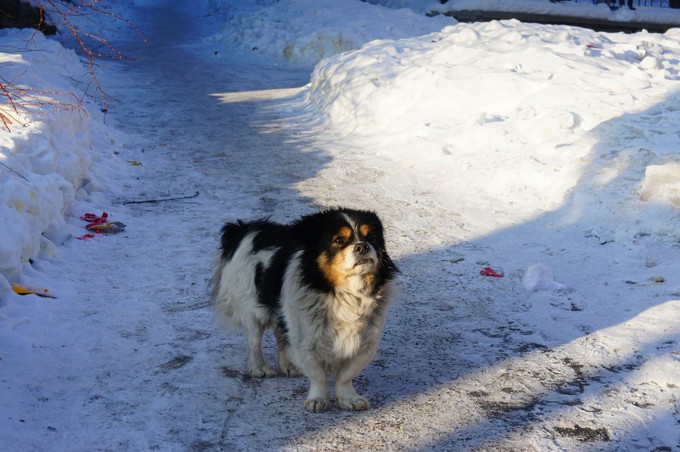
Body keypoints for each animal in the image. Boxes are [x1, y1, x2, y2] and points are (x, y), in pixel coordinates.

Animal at [210, 208, 396, 414]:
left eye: (371, 236)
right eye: (339, 239)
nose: (362, 246)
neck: (344, 293)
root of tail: (244, 227)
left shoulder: (365, 343)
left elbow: (345, 375)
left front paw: (349, 399)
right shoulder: (305, 341)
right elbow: (318, 375)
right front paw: (318, 400)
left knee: (280, 335)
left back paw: (289, 366)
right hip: (253, 312)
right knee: (254, 341)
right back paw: (259, 368)